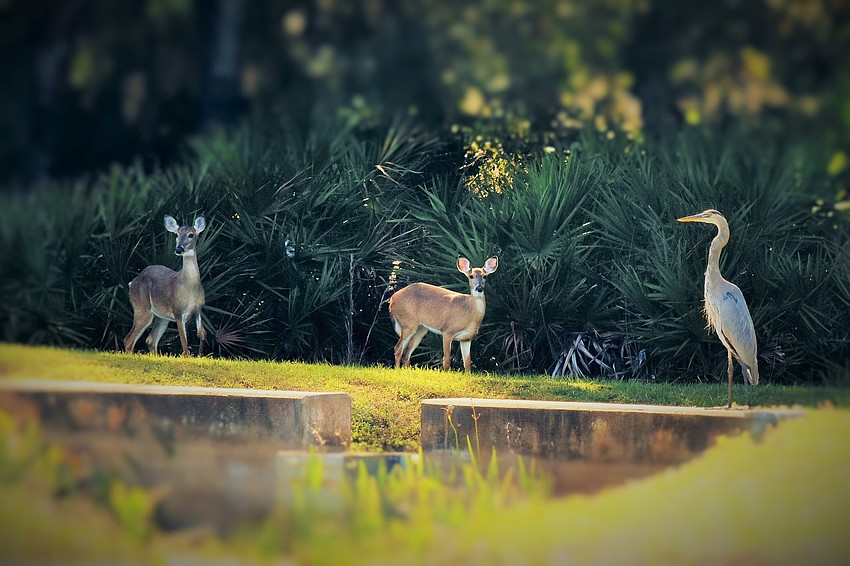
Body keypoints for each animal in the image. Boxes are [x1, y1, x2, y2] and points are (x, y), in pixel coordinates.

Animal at [124, 215, 207, 357]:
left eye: (191, 234)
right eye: (176, 234)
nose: (179, 249)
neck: (190, 287)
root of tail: (132, 283)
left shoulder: (198, 309)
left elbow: (201, 334)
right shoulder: (178, 312)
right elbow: (185, 346)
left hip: (162, 318)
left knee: (150, 340)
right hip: (142, 308)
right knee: (129, 340)